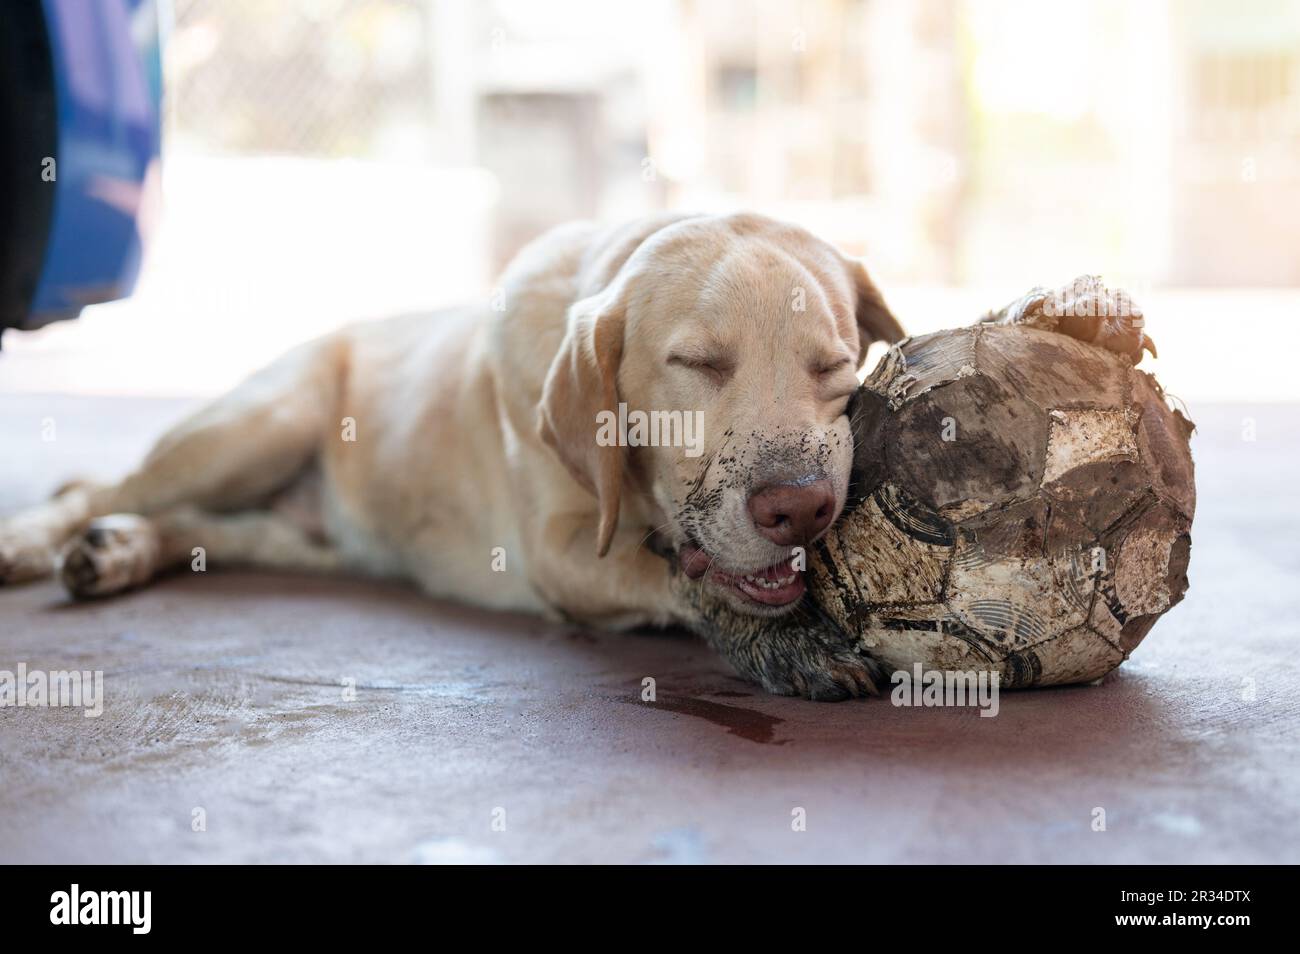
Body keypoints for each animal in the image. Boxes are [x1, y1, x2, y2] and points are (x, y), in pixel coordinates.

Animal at [0, 213, 1149, 696]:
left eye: (834, 367)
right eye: (696, 362)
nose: (802, 510)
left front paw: (1069, 311)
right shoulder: (559, 550)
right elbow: (677, 573)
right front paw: (781, 639)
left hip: (297, 535)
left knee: (191, 526)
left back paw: (122, 550)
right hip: (259, 422)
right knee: (98, 483)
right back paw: (42, 539)